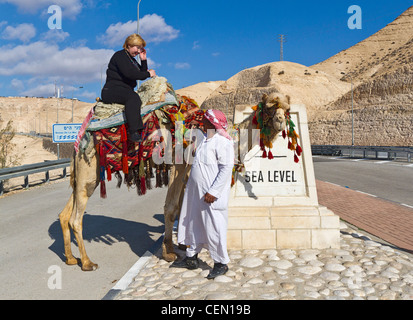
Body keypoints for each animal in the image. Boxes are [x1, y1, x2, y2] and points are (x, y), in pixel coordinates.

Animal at [58, 89, 290, 270]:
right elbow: (171, 208)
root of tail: (80, 137)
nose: (281, 122)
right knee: (76, 218)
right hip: (89, 167)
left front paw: (183, 245)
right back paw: (87, 262)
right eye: (269, 107)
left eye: (287, 109)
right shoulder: (179, 166)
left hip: (86, 173)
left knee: (65, 212)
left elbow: (181, 207)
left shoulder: (188, 172)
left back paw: (70, 258)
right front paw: (168, 251)